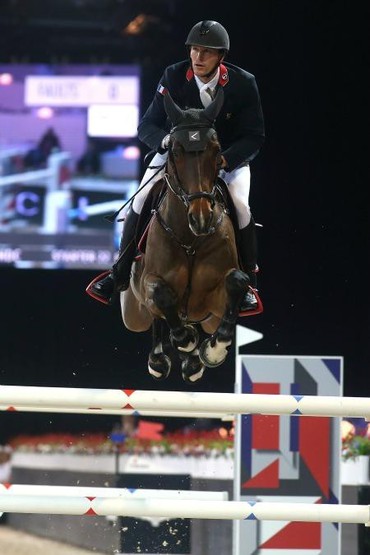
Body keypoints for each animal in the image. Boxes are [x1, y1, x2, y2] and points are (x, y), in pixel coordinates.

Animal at [120, 90, 262, 386]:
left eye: (217, 151)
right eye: (174, 151)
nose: (201, 218)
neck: (190, 240)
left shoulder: (216, 300)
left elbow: (236, 281)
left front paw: (213, 350)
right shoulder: (150, 284)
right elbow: (161, 295)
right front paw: (186, 343)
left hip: (205, 317)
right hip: (133, 313)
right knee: (155, 318)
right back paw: (162, 358)